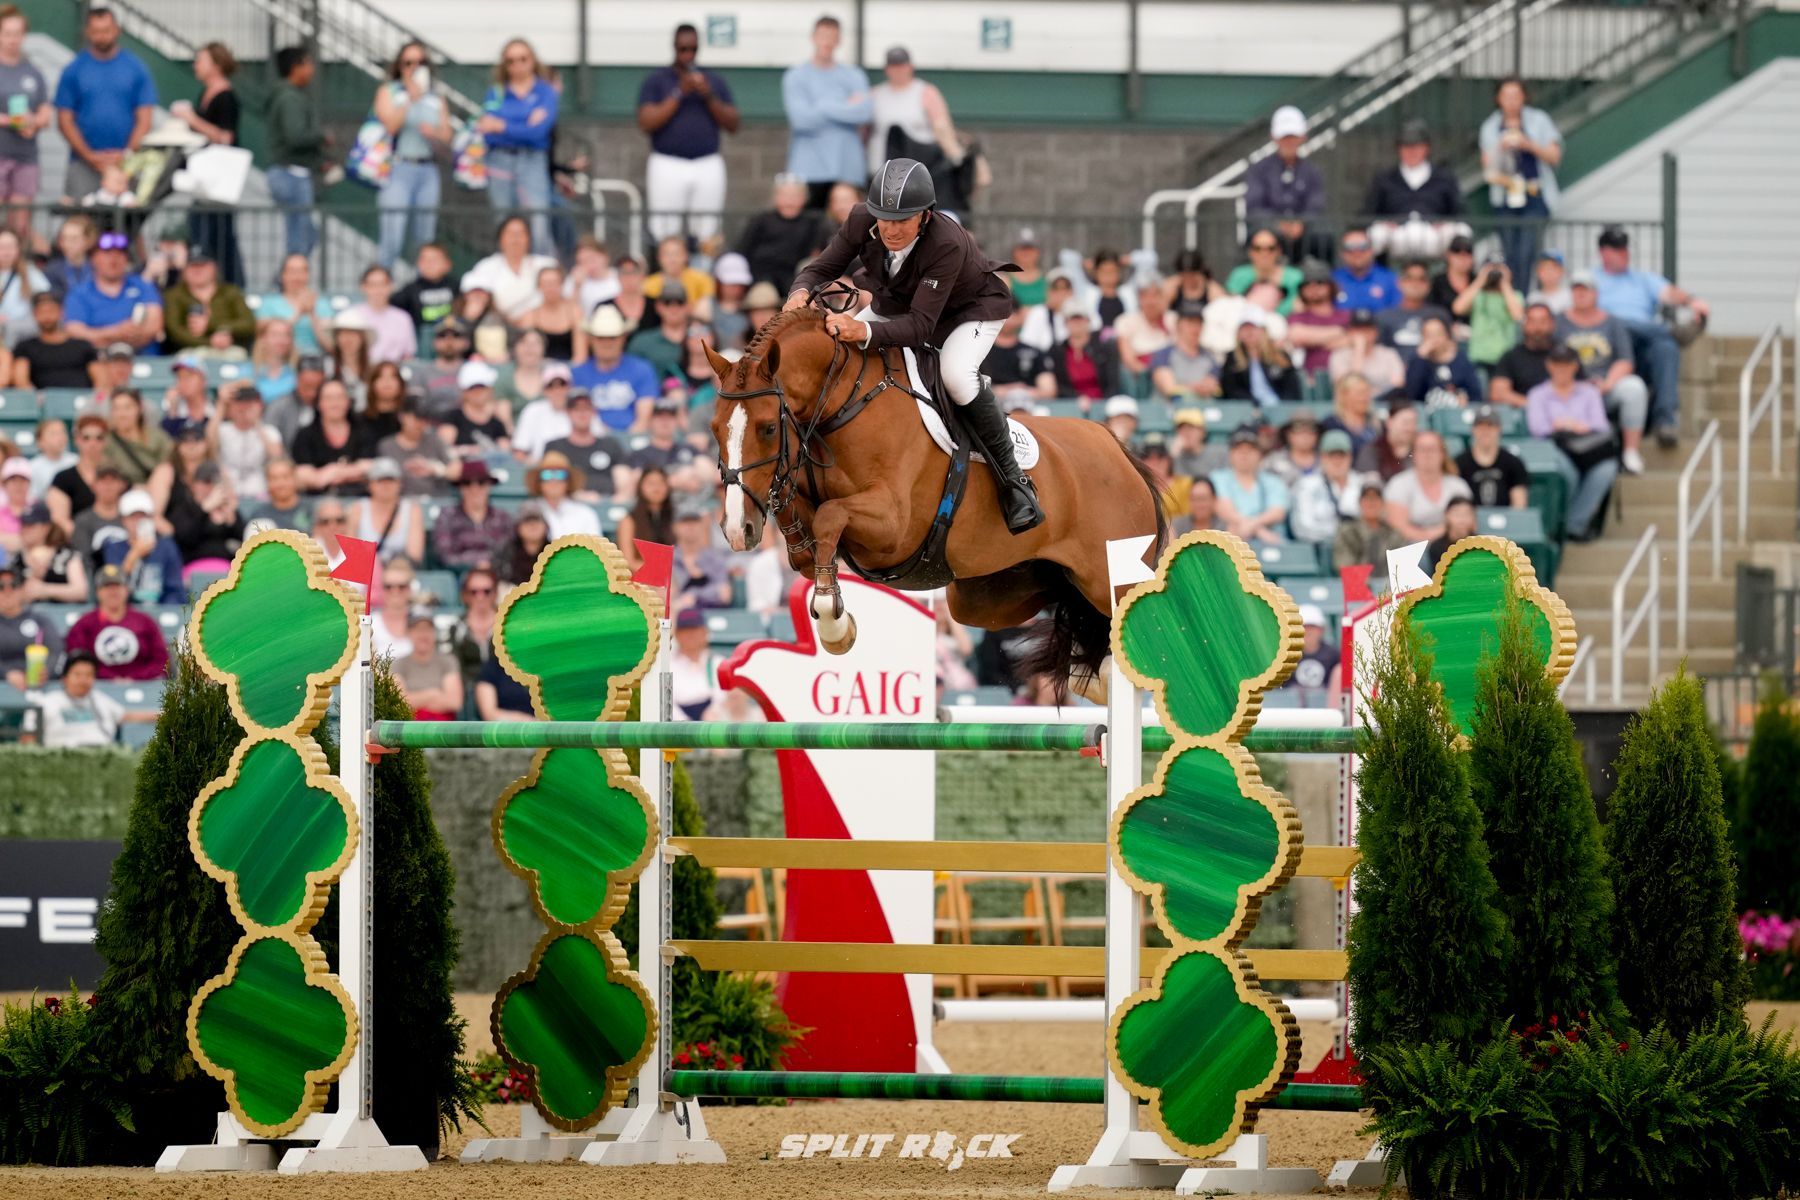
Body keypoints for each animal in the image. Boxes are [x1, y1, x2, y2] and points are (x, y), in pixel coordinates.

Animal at [702, 305, 1166, 690]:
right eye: (714, 428)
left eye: (767, 428)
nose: (737, 531)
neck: (842, 403)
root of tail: (1120, 452)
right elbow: (804, 529)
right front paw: (819, 582)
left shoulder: (893, 527)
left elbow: (830, 516)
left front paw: (834, 625)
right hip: (989, 596)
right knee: (1068, 606)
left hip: (1110, 577)